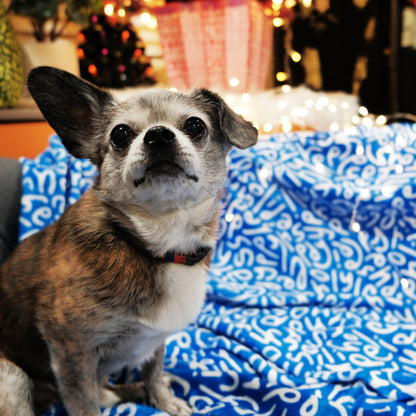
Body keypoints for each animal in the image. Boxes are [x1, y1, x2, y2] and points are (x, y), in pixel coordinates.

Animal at [0, 66, 256, 414]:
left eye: (195, 126)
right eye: (120, 134)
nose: (158, 135)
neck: (158, 247)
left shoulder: (156, 340)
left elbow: (153, 370)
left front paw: (162, 400)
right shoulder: (70, 350)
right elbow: (84, 404)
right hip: (11, 376)